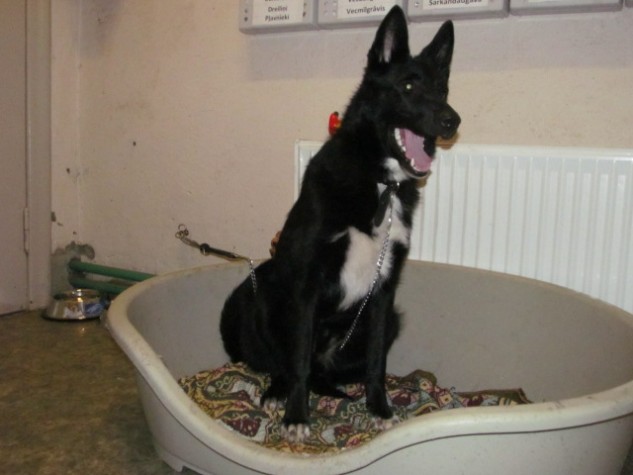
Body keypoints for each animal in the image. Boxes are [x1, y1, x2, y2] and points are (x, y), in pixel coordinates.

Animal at [220, 6, 460, 442]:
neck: (378, 180)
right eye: (408, 85)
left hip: (386, 321)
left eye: (443, 90)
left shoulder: (384, 293)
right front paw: (297, 417)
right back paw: (277, 392)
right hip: (259, 294)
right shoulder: (307, 287)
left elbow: (377, 364)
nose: (453, 120)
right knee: (285, 363)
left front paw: (379, 409)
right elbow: (296, 362)